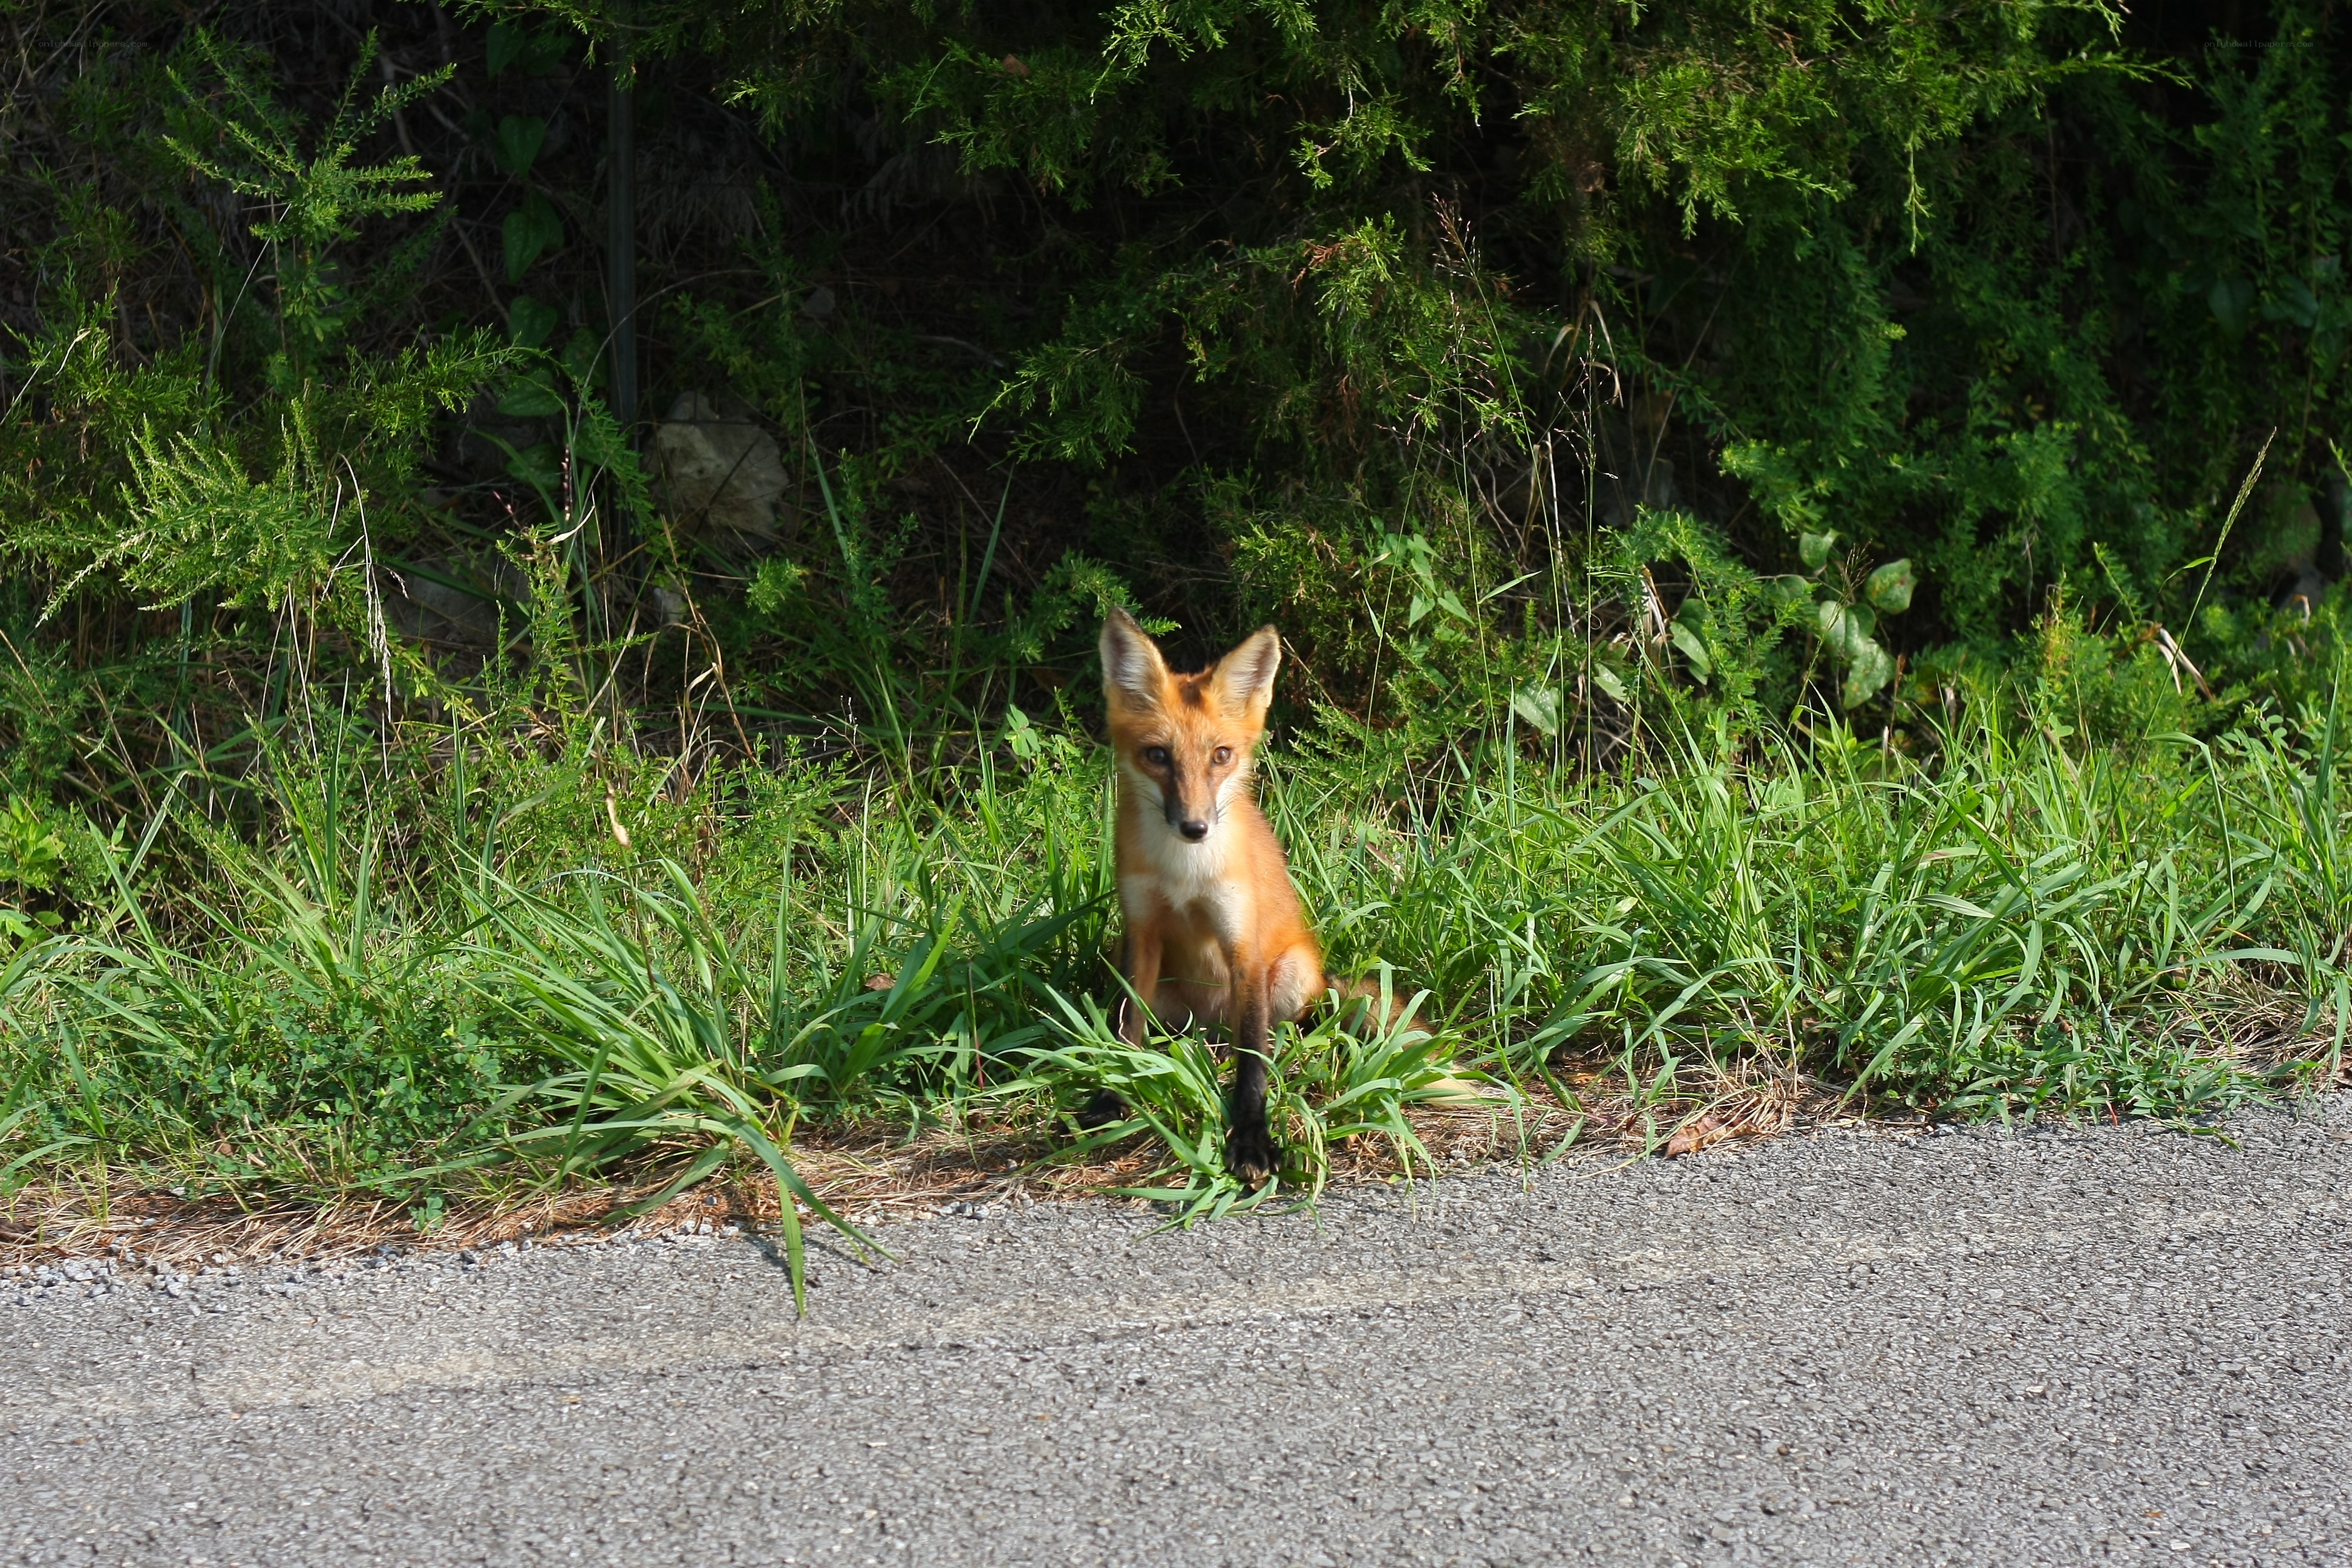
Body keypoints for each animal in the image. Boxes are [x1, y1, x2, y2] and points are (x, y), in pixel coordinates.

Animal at [1097, 607, 1382, 1184]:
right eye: (1157, 755)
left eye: (1221, 756)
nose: (1195, 827)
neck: (1185, 874)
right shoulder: (1140, 931)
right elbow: (1126, 1032)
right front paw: (1113, 1098)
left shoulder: (1242, 945)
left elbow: (1254, 1061)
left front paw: (1251, 1139)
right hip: (1162, 988)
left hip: (1290, 976)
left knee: (1274, 1034)